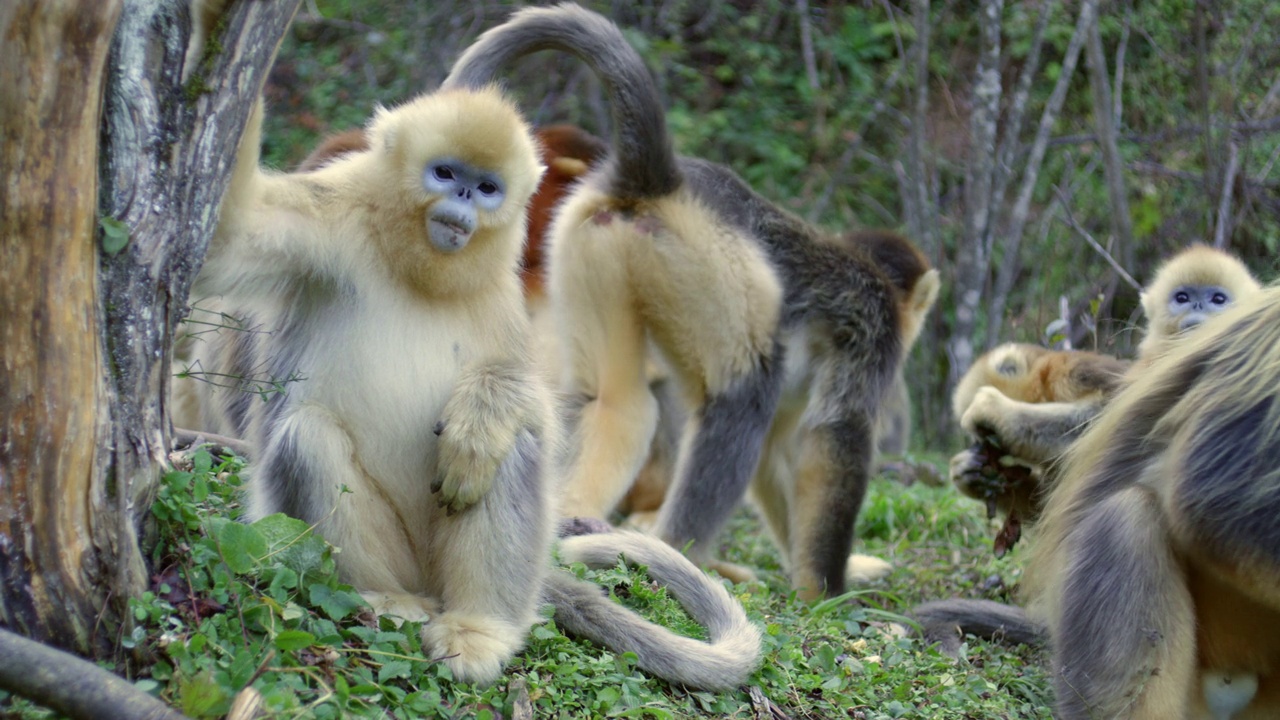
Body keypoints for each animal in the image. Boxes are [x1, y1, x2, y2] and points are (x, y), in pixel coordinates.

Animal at [184, 83, 752, 681]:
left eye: (486, 188)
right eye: (444, 172)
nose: (462, 199)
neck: (418, 271)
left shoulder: (505, 297)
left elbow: (536, 407)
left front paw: (481, 422)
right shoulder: (329, 219)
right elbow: (226, 241)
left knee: (514, 448)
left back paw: (482, 627)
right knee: (307, 435)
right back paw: (384, 597)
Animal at [442, 4, 931, 599]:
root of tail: (661, 181)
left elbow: (778, 452)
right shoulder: (877, 325)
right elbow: (836, 436)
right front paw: (827, 592)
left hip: (590, 240)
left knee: (613, 399)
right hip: (707, 264)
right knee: (741, 397)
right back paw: (680, 553)